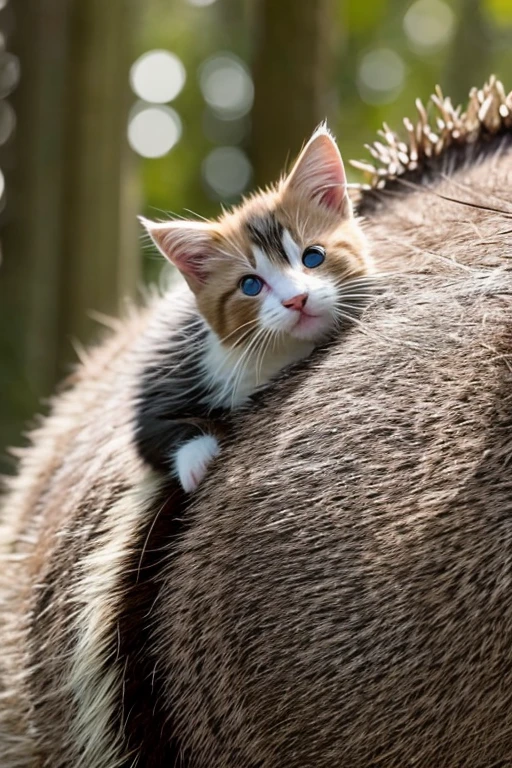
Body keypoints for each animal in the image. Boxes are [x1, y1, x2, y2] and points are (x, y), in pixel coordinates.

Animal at [137, 126, 376, 492]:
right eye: (250, 285)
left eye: (313, 256)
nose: (297, 299)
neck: (283, 354)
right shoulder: (170, 360)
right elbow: (152, 430)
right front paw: (196, 459)